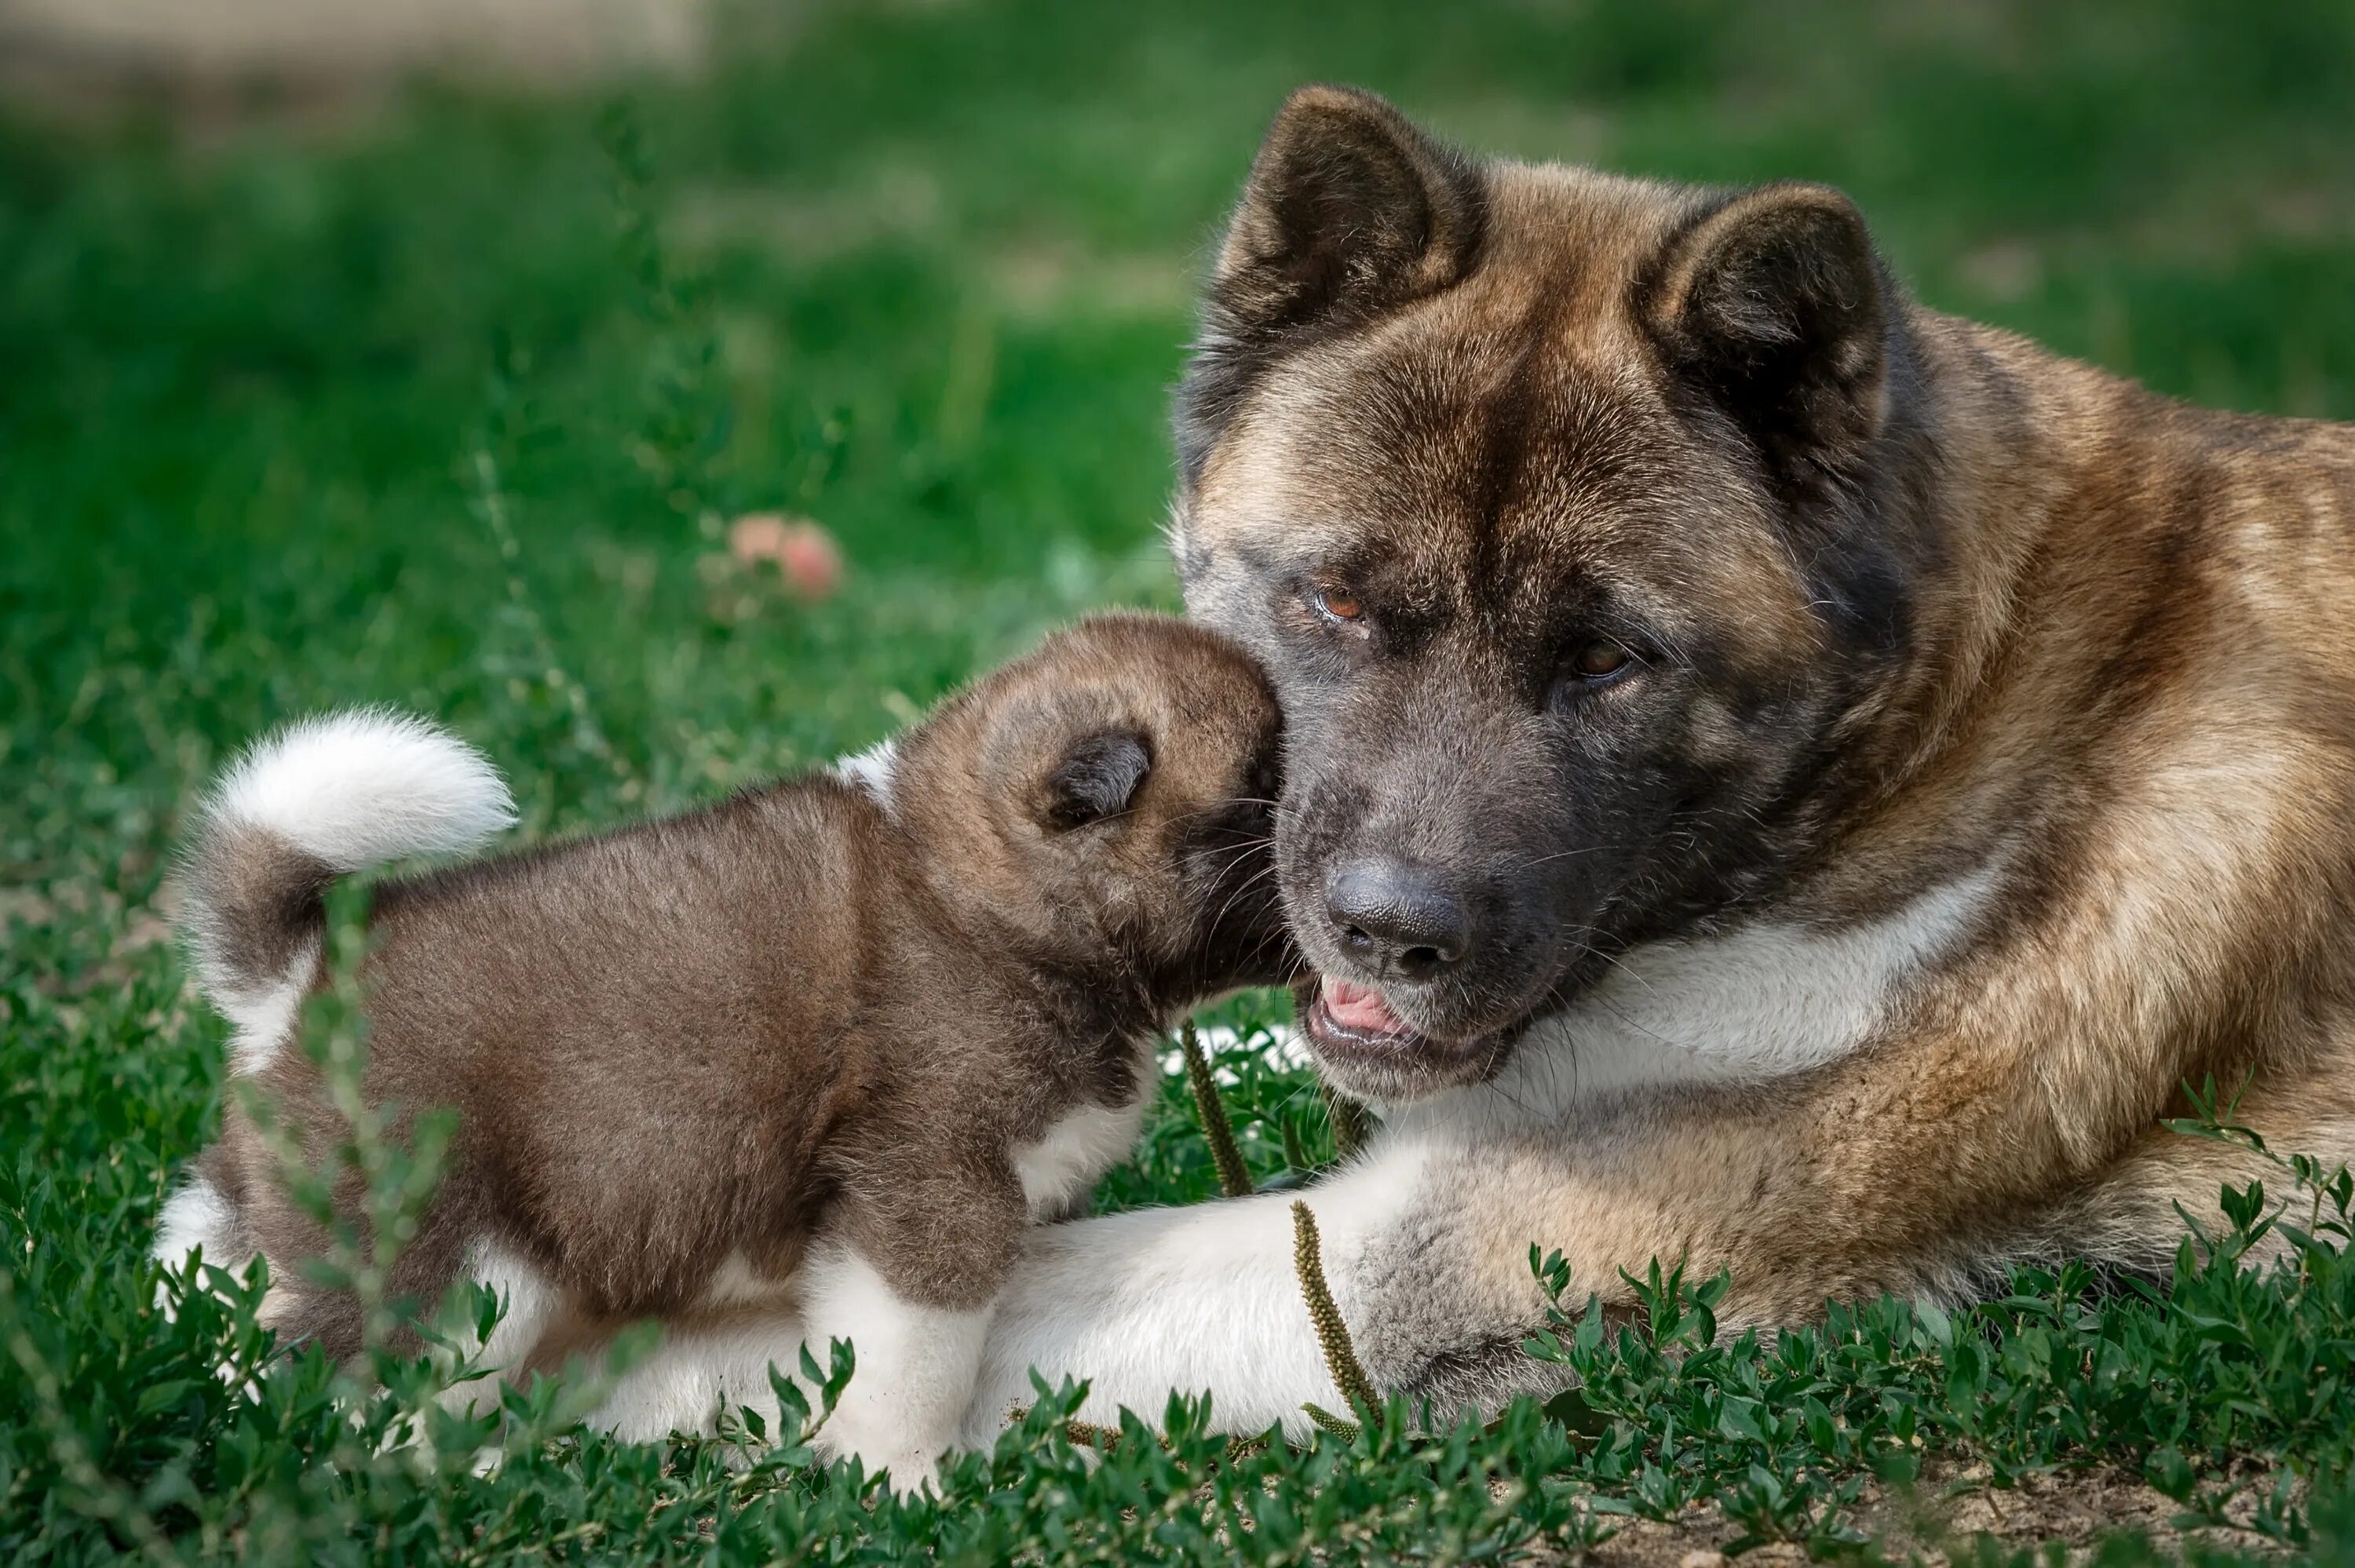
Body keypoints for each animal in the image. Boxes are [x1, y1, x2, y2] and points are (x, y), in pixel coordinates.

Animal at [159, 612, 1300, 1479]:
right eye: (1263, 783)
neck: (982, 892)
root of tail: (297, 981)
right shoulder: (929, 1194)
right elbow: (914, 1363)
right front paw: (906, 1476)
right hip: (449, 1266)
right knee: (377, 1389)